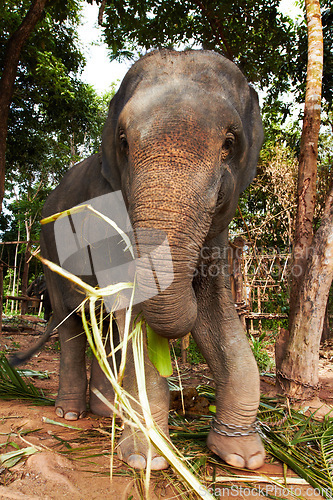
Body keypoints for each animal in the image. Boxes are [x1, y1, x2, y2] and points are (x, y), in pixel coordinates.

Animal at [39, 50, 264, 472]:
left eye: (229, 143)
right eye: (124, 143)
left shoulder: (216, 234)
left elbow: (216, 315)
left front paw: (243, 457)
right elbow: (136, 320)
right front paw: (146, 460)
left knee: (106, 327)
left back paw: (108, 412)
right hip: (49, 252)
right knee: (74, 324)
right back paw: (71, 414)